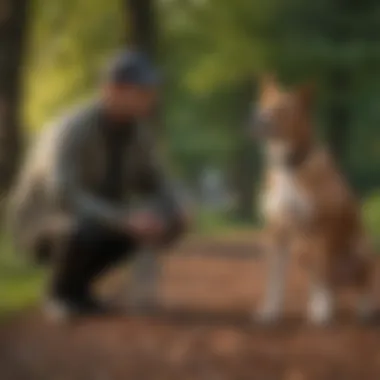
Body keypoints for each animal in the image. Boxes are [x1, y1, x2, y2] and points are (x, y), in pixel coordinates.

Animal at [252, 75, 374, 326]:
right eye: (262, 106)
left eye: (282, 109)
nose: (258, 120)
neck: (289, 166)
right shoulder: (276, 232)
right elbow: (274, 279)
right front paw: (270, 312)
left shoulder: (321, 230)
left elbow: (321, 275)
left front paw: (321, 313)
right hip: (302, 251)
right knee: (328, 282)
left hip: (362, 248)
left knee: (360, 284)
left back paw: (361, 309)